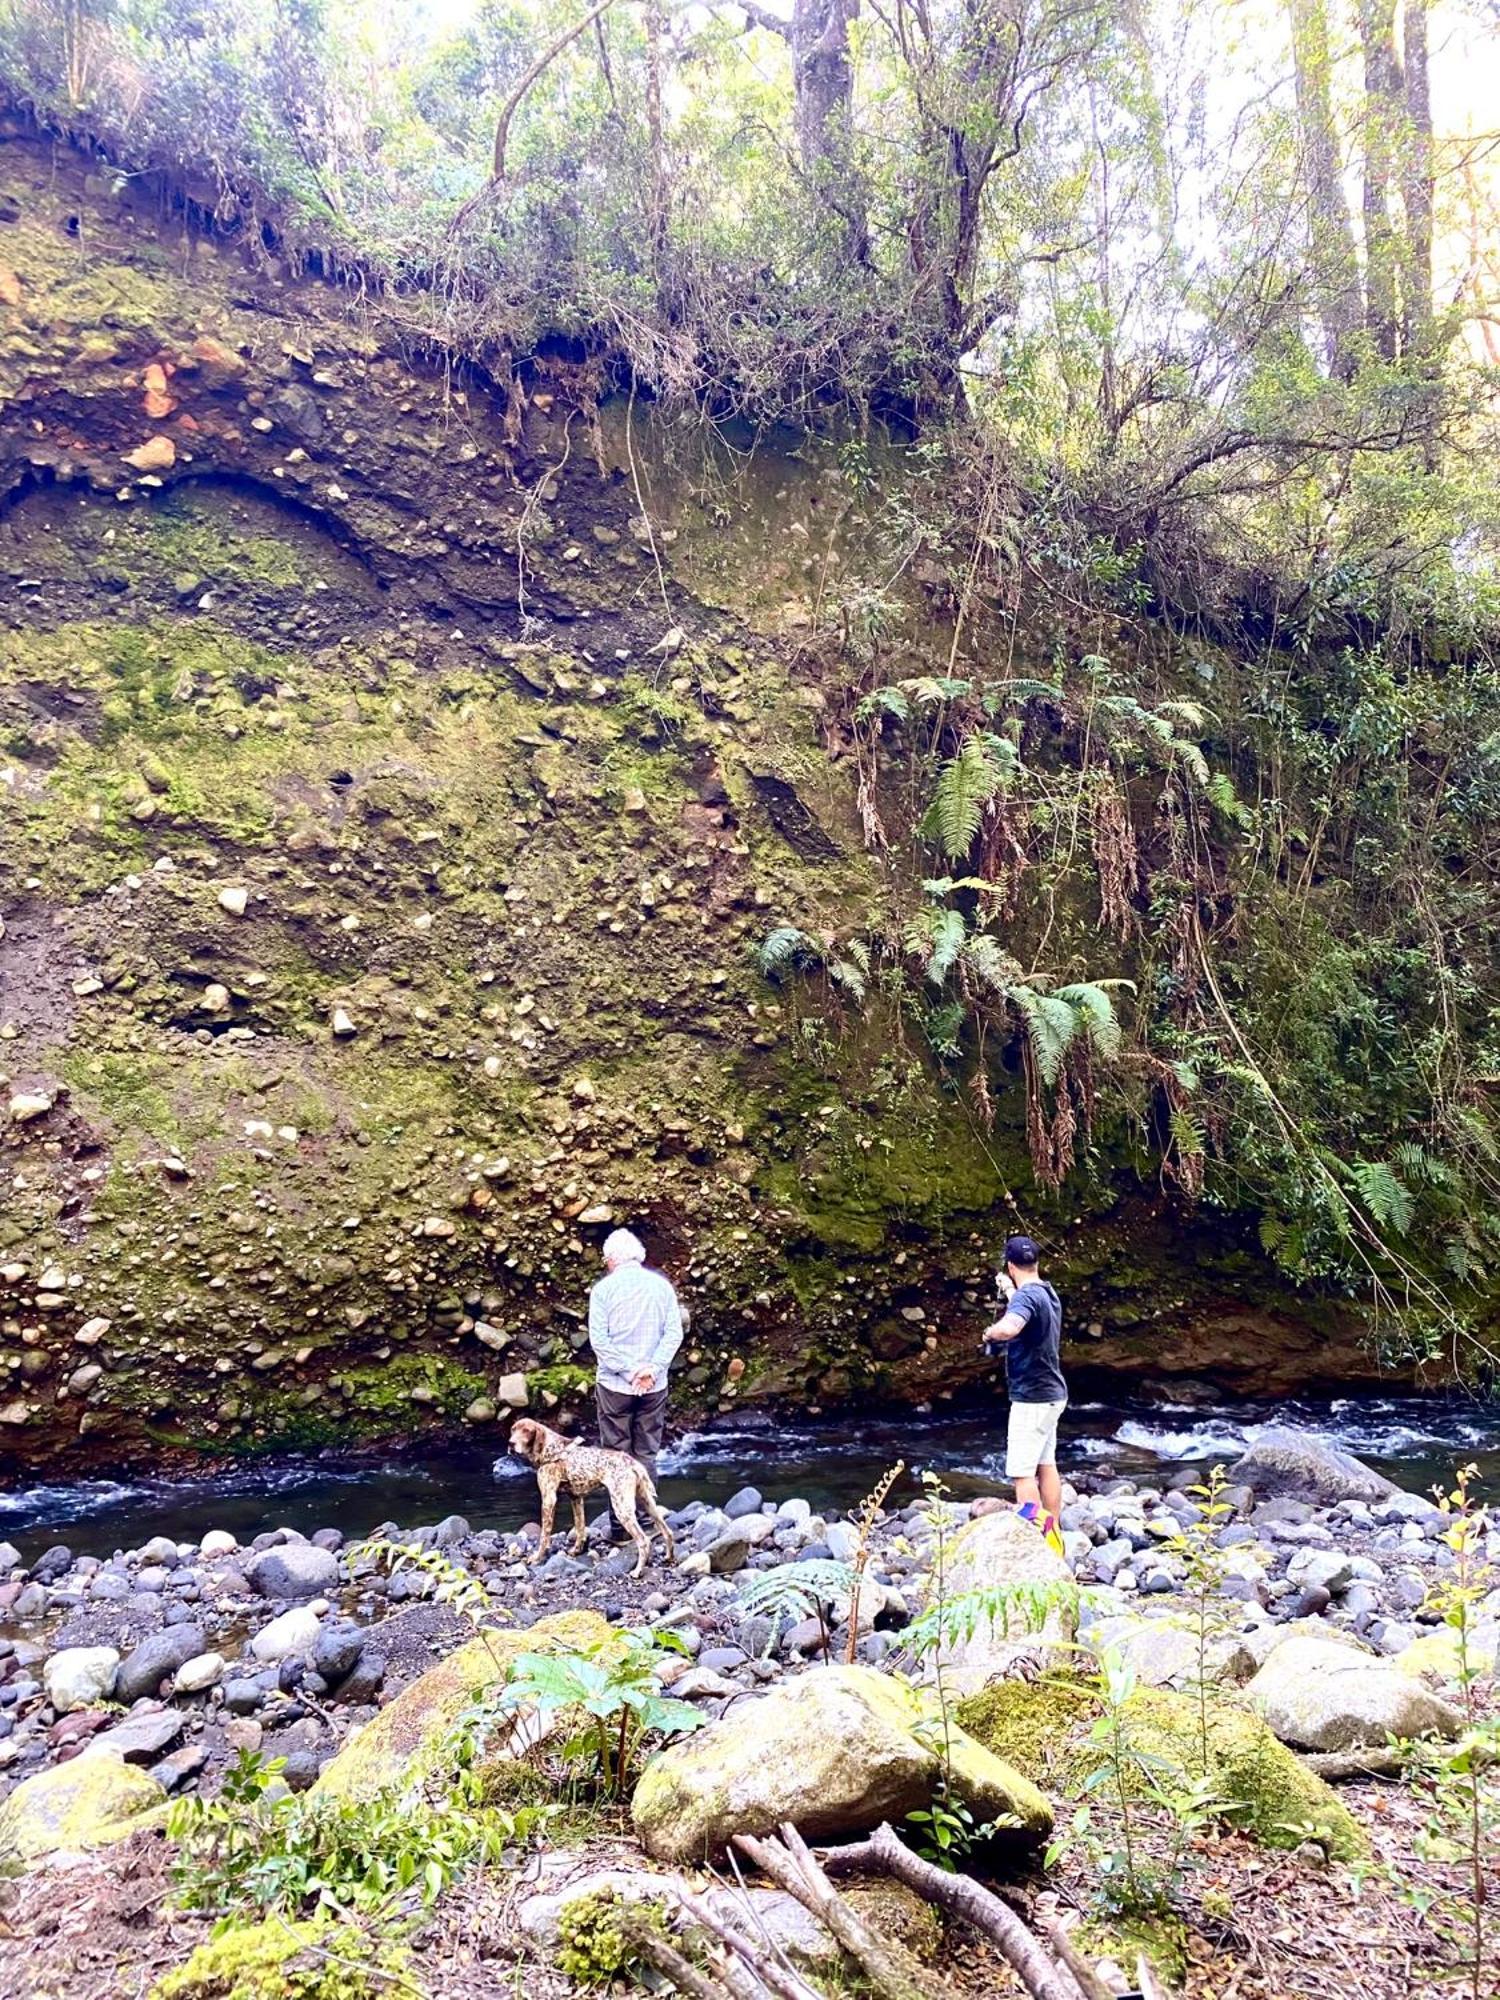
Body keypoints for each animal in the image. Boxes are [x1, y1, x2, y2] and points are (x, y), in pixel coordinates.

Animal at [512, 1408, 676, 1576]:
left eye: (527, 1431)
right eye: (513, 1429)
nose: (511, 1443)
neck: (551, 1448)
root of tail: (632, 1463)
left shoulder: (548, 1500)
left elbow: (544, 1536)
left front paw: (537, 1557)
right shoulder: (576, 1499)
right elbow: (580, 1528)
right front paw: (577, 1551)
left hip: (622, 1508)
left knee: (643, 1541)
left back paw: (637, 1571)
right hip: (647, 1502)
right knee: (668, 1532)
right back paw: (669, 1558)